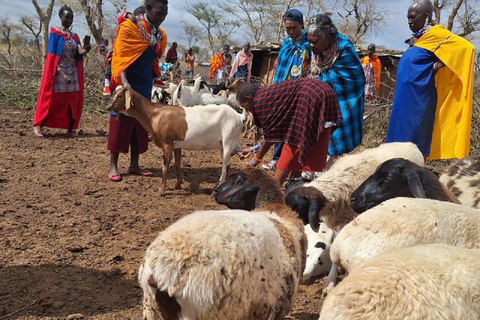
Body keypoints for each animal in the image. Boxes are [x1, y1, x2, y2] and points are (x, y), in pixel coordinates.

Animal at [107, 85, 246, 195]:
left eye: (119, 95)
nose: (108, 106)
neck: (155, 114)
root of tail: (239, 116)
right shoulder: (176, 145)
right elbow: (178, 163)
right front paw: (178, 184)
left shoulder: (167, 144)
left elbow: (165, 167)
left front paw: (160, 191)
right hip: (224, 144)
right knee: (227, 165)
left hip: (228, 141)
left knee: (225, 166)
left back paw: (215, 189)